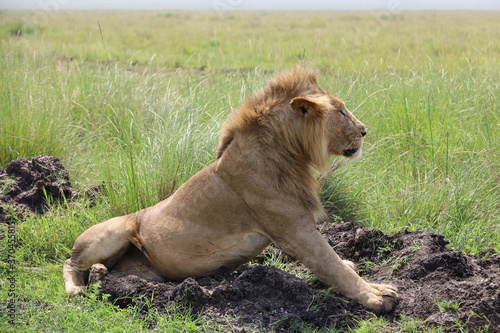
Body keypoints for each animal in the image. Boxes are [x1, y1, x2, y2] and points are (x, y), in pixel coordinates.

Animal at [63, 67, 398, 314]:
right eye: (341, 111)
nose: (365, 130)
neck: (291, 155)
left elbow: (335, 263)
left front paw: (357, 271)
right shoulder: (294, 229)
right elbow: (331, 265)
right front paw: (377, 295)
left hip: (146, 271)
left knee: (117, 273)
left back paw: (100, 274)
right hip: (115, 230)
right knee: (70, 262)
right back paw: (79, 286)